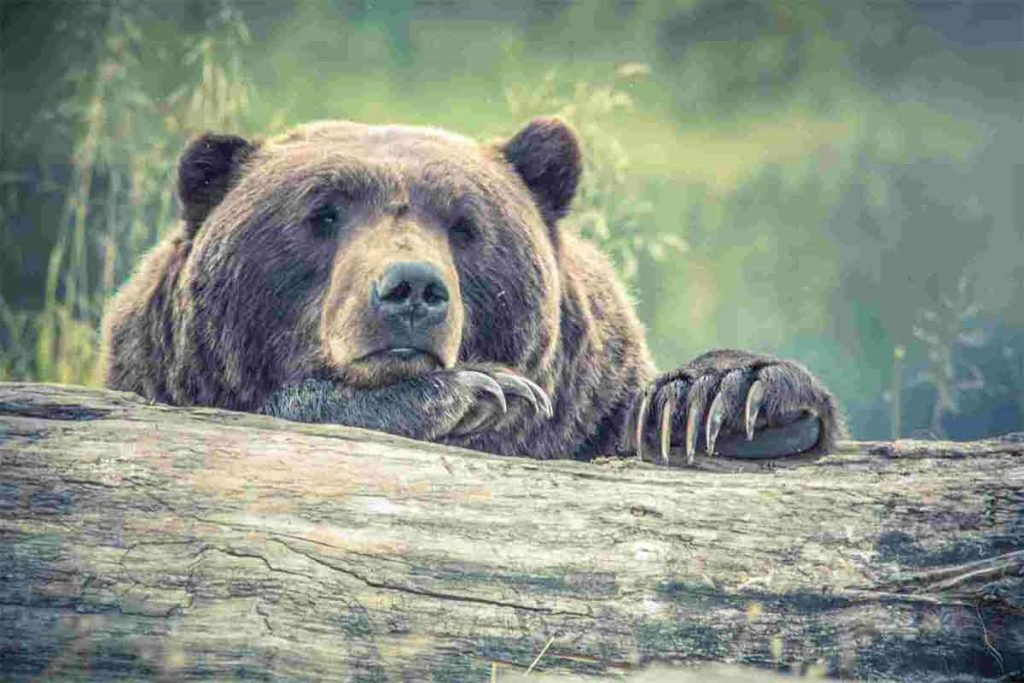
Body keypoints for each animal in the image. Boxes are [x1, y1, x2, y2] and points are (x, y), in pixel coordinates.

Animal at [99, 117, 843, 462]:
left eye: (464, 225)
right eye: (323, 213)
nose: (412, 289)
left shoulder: (589, 406)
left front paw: (723, 399)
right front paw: (478, 392)